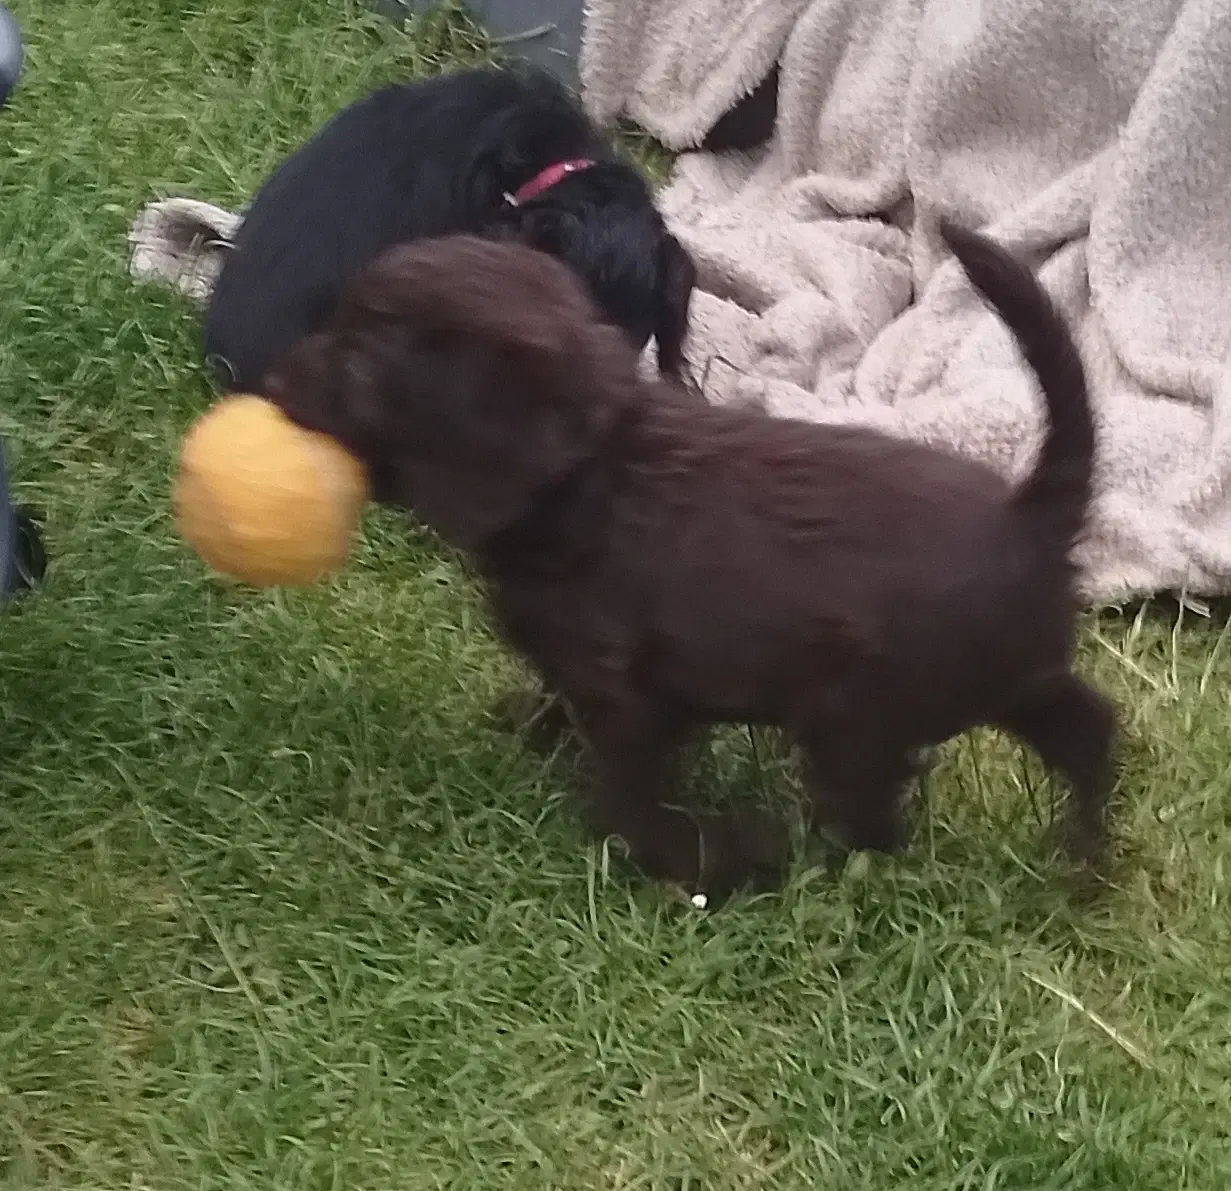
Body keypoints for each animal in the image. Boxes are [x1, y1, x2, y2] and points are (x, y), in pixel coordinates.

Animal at [267, 223, 1117, 895]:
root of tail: (1029, 515)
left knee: (871, 816)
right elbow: (557, 702)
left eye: (358, 360)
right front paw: (527, 729)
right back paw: (1082, 861)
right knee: (1088, 731)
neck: (592, 475)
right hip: (1010, 678)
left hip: (855, 718)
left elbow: (632, 790)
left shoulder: (630, 699)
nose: (271, 382)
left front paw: (696, 859)